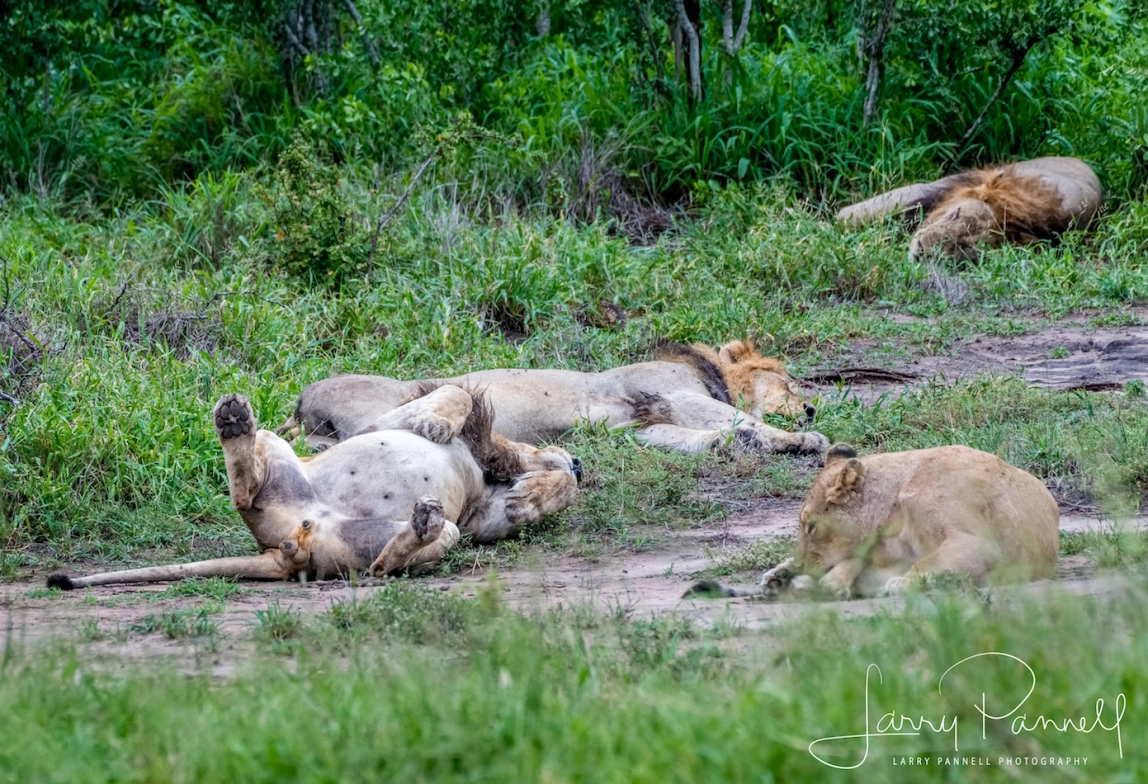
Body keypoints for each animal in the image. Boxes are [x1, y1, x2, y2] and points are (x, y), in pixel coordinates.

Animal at [44, 383, 583, 592]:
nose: (579, 461)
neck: (491, 463)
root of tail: (289, 545)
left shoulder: (476, 517)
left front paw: (533, 496)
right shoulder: (378, 420)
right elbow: (455, 395)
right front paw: (435, 426)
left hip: (401, 536)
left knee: (385, 565)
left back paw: (420, 527)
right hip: (280, 446)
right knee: (244, 486)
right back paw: (234, 420)